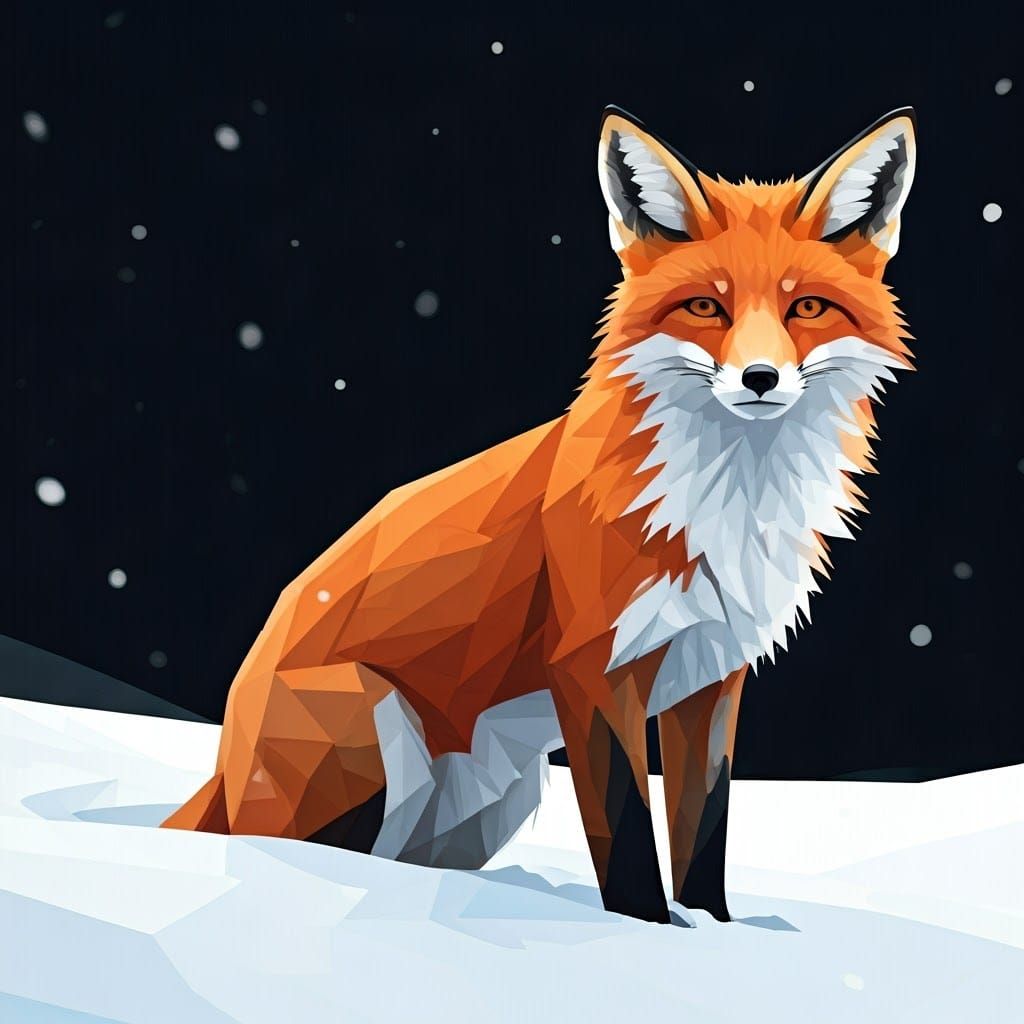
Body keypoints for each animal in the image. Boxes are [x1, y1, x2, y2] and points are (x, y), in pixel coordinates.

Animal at [164, 105, 917, 924]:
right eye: (705, 306)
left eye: (805, 306)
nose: (759, 378)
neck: (723, 501)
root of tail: (225, 756)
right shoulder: (591, 667)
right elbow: (625, 827)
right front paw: (647, 933)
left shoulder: (710, 680)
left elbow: (703, 829)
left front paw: (713, 931)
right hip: (373, 745)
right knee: (300, 854)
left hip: (490, 807)